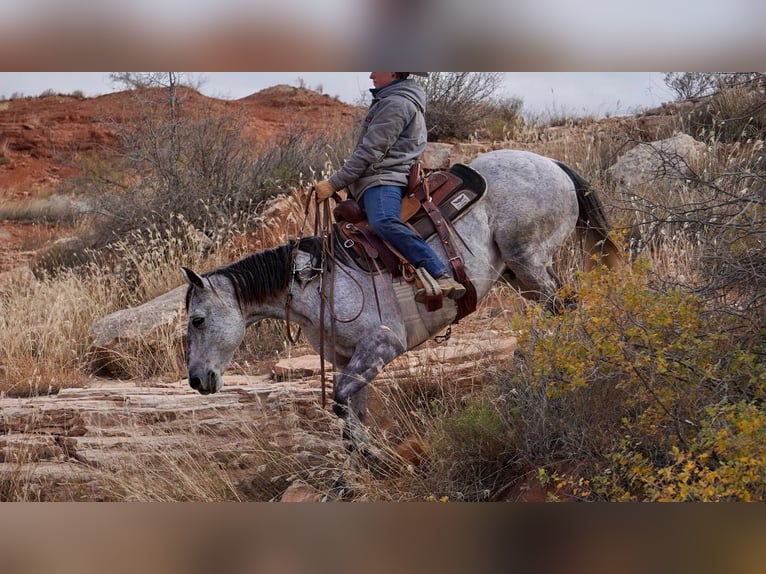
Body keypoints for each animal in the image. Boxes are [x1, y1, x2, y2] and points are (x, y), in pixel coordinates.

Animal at [183, 151, 628, 452]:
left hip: (529, 260)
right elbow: (351, 413)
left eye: (198, 320)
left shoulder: (384, 343)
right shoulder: (349, 359)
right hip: (519, 275)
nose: (197, 381)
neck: (317, 284)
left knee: (565, 307)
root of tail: (551, 163)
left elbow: (341, 402)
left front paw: (374, 455)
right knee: (561, 307)